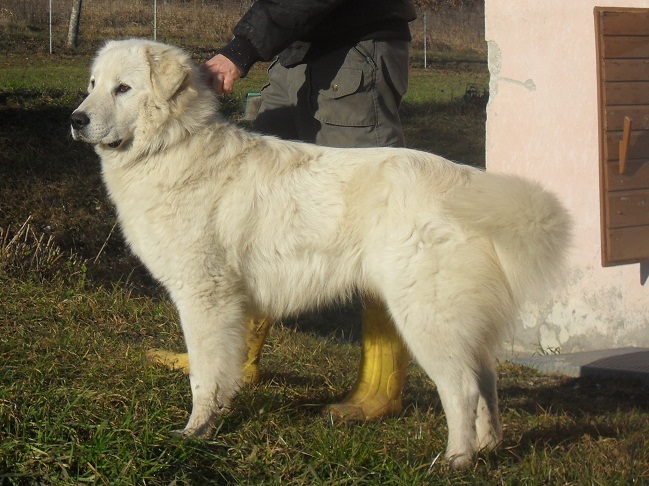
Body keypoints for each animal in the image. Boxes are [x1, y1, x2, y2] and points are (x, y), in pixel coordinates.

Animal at [70, 39, 571, 468]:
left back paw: (456, 459)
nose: (75, 120)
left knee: (464, 389)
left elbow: (205, 373)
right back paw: (487, 447)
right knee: (487, 381)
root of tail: (468, 183)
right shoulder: (230, 301)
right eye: (93, 84)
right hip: (454, 321)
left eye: (123, 88)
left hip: (428, 318)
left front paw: (196, 431)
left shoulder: (206, 296)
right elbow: (223, 365)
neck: (173, 144)